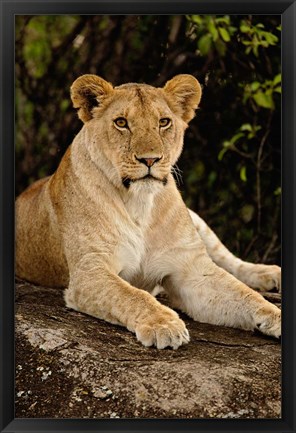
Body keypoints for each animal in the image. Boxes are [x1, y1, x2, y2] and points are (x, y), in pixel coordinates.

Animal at [15, 74, 280, 350]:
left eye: (163, 122)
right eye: (121, 122)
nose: (150, 159)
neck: (140, 203)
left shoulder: (191, 269)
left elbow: (243, 293)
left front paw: (277, 316)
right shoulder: (90, 271)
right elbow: (131, 295)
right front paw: (164, 325)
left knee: (227, 260)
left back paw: (269, 274)